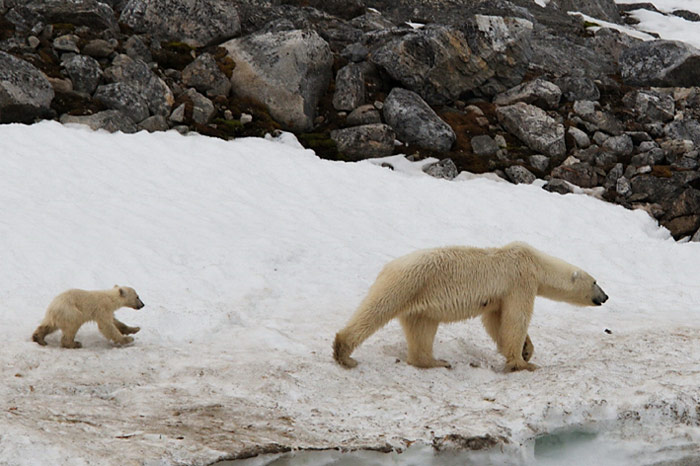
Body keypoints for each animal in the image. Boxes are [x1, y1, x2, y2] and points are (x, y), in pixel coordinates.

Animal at [334, 244, 608, 372]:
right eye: (595, 281)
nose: (605, 297)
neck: (535, 262)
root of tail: (387, 267)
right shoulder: (520, 281)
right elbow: (515, 319)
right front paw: (523, 363)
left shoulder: (499, 295)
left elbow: (496, 322)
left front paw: (527, 350)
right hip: (408, 283)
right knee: (376, 309)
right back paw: (343, 353)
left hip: (419, 301)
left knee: (421, 328)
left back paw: (435, 361)